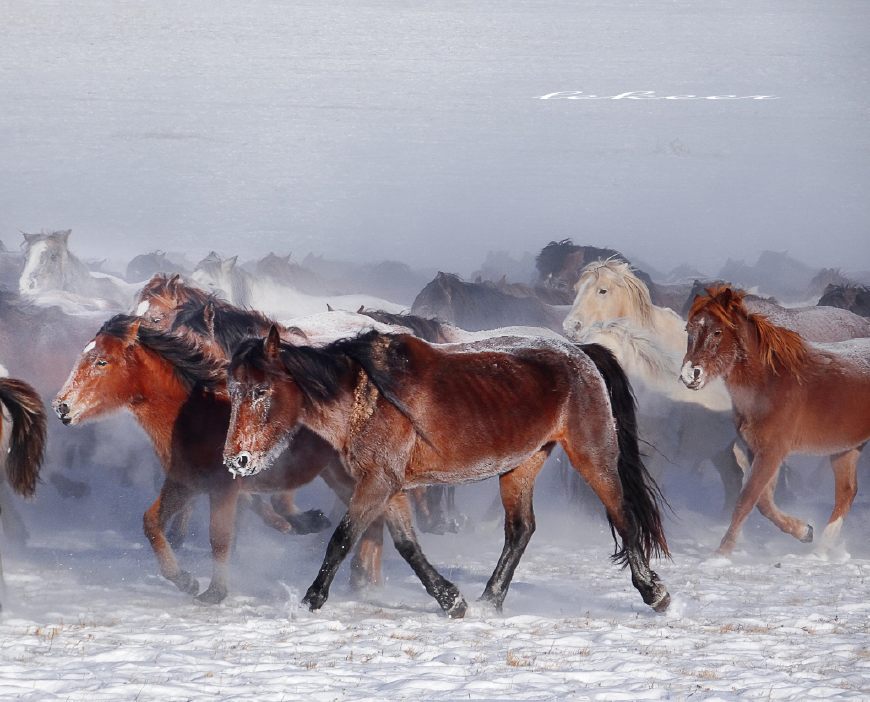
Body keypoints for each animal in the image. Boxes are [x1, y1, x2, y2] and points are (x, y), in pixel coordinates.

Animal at [53, 316, 378, 604]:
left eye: (102, 362)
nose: (61, 406)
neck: (196, 416)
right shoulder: (185, 483)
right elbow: (152, 524)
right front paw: (185, 580)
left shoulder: (224, 489)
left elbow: (219, 538)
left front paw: (215, 592)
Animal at [225, 328, 676, 616]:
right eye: (232, 390)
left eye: (261, 391)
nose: (236, 460)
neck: (366, 397)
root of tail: (581, 352)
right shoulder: (389, 485)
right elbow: (407, 545)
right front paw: (450, 600)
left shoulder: (377, 482)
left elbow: (341, 538)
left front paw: (310, 601)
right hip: (521, 464)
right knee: (520, 530)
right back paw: (489, 601)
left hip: (592, 454)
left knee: (622, 514)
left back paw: (654, 593)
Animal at [684, 286, 870, 556]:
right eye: (688, 330)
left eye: (718, 332)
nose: (690, 375)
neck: (769, 384)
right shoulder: (758, 450)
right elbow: (763, 501)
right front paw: (804, 531)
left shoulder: (772, 451)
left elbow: (746, 499)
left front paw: (722, 553)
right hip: (846, 448)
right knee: (846, 492)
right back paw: (821, 549)